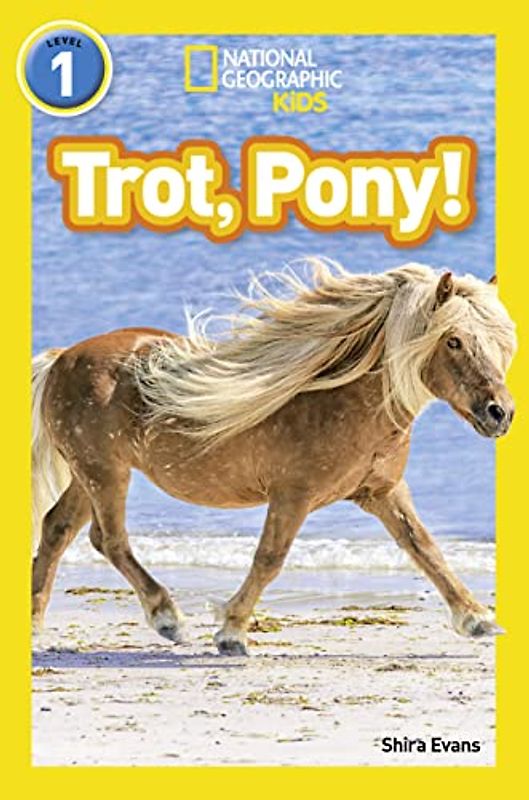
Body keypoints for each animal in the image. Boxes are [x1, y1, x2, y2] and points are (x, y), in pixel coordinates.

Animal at [31, 260, 516, 655]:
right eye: (453, 341)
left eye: (500, 343)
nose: (501, 413)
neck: (341, 398)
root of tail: (62, 358)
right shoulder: (293, 496)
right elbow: (269, 559)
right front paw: (231, 632)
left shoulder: (383, 491)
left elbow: (426, 549)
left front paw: (477, 619)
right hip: (105, 472)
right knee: (109, 540)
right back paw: (169, 619)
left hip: (89, 475)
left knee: (58, 529)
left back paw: (35, 625)